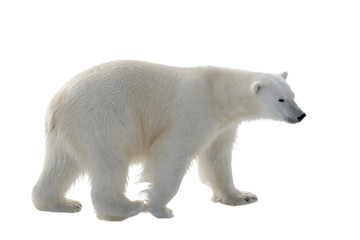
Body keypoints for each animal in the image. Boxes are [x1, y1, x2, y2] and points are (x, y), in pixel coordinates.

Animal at [32, 60, 306, 221]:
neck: (219, 93)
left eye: (293, 95)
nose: (301, 115)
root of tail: (57, 102)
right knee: (110, 164)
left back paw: (62, 203)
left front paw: (242, 196)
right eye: (281, 99)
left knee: (61, 165)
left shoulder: (223, 126)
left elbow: (218, 158)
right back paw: (127, 208)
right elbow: (172, 153)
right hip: (104, 119)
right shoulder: (192, 111)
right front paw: (159, 208)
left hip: (69, 132)